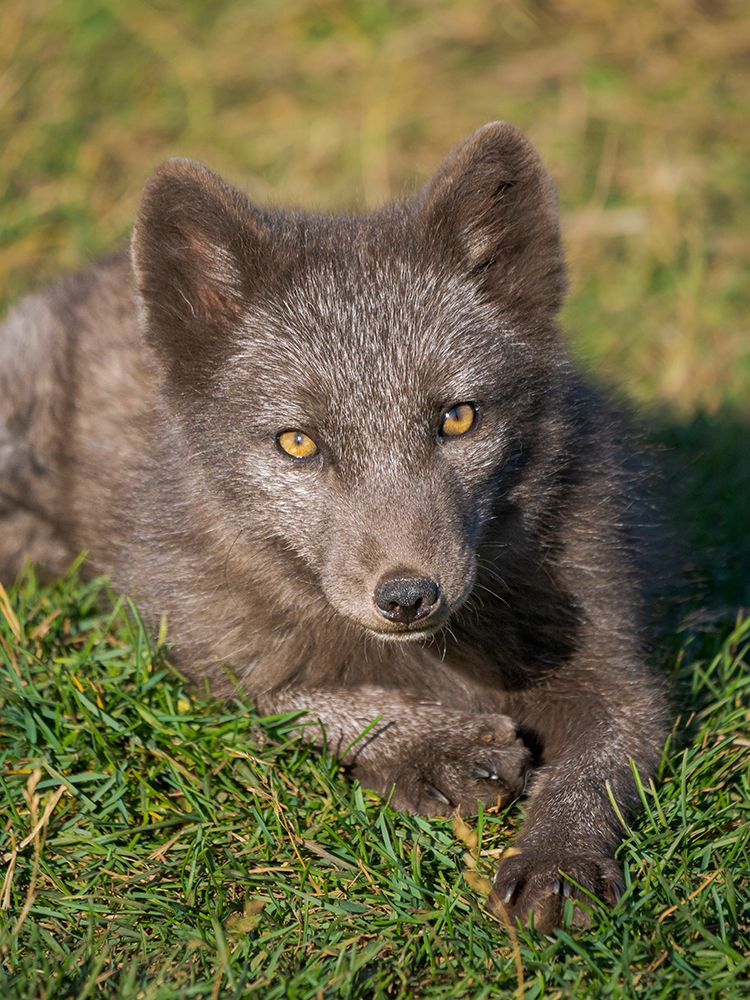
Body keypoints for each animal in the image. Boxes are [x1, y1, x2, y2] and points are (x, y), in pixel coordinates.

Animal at [0, 122, 667, 933]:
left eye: (458, 417)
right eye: (297, 442)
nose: (408, 595)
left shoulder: (617, 667)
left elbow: (599, 761)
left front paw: (558, 862)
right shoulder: (180, 642)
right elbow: (285, 695)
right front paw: (430, 746)